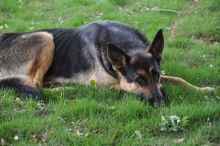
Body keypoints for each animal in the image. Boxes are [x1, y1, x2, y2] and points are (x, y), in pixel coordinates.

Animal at [0, 20, 214, 106]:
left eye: (156, 75)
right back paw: (67, 89)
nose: (161, 104)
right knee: (36, 84)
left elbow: (178, 78)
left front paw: (203, 89)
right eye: (139, 80)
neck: (127, 43)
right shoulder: (108, 83)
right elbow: (122, 87)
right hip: (45, 37)